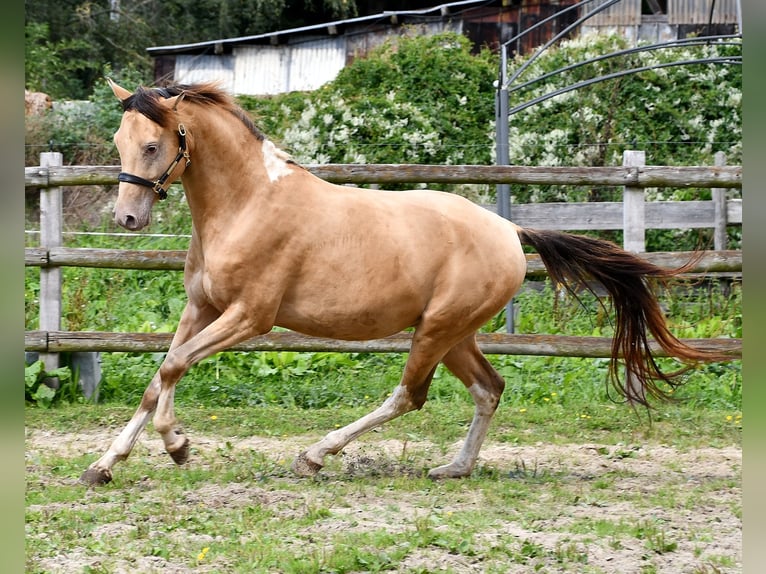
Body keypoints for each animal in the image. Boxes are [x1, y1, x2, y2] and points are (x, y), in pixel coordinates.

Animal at [79, 80, 732, 486]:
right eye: (119, 141)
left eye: (153, 144)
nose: (128, 219)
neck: (247, 204)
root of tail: (508, 229)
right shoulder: (200, 309)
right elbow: (158, 377)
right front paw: (105, 465)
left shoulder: (249, 317)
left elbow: (171, 368)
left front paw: (178, 445)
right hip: (455, 333)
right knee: (489, 389)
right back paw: (453, 468)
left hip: (437, 330)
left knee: (410, 396)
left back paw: (316, 455)